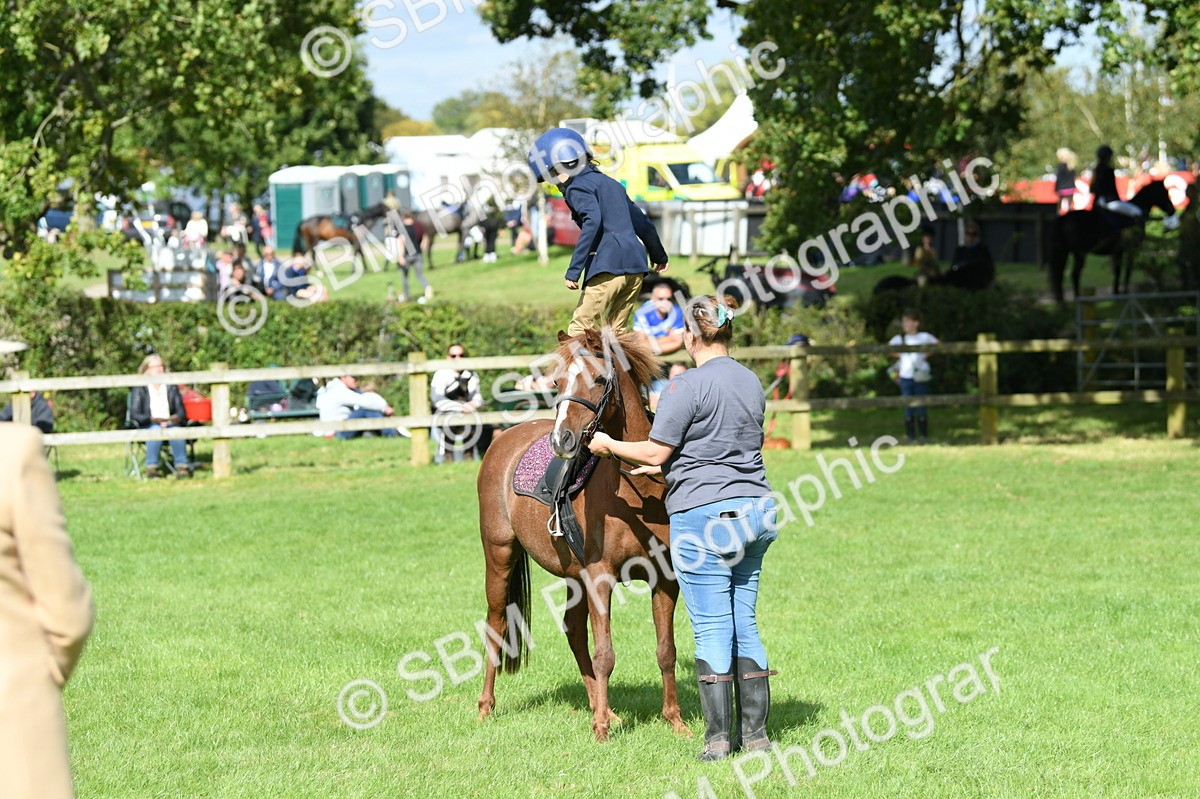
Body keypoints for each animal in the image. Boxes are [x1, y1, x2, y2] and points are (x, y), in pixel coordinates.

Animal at [476, 328, 690, 743]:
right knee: (496, 624)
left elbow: (665, 650)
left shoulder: (664, 579)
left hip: (573, 576)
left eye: (598, 379)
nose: (562, 440)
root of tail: (504, 438)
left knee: (573, 632)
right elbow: (605, 654)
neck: (634, 493)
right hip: (499, 554)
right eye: (557, 382)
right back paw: (486, 706)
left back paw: (601, 706)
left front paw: (675, 721)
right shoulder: (600, 577)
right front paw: (601, 730)